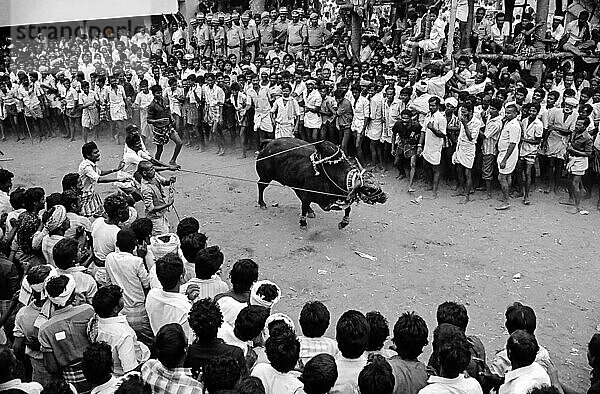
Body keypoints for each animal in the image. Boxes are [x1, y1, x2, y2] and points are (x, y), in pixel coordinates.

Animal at [254, 138, 386, 228]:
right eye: (368, 189)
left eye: (377, 184)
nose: (384, 197)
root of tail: (269, 143)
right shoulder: (307, 194)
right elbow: (304, 206)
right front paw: (303, 223)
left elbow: (347, 209)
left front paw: (343, 223)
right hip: (266, 177)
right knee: (260, 186)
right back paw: (262, 203)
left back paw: (310, 211)